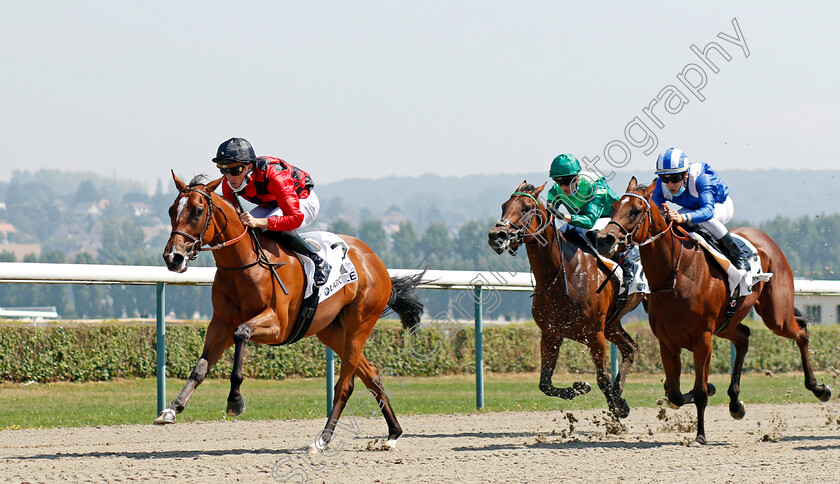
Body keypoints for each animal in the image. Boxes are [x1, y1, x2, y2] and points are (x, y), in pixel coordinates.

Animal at [157, 174, 424, 454]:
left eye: (198, 211)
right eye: (171, 210)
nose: (173, 257)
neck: (245, 264)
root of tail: (375, 260)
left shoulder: (278, 326)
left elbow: (242, 333)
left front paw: (235, 401)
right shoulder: (220, 325)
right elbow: (200, 367)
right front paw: (171, 409)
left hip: (359, 323)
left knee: (345, 385)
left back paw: (322, 440)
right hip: (330, 331)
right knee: (370, 374)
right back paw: (393, 434)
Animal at [486, 182, 644, 420]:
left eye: (526, 208)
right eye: (504, 205)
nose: (497, 235)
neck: (560, 276)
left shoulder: (594, 335)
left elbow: (602, 379)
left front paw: (615, 411)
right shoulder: (551, 334)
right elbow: (545, 384)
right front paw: (582, 388)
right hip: (611, 324)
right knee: (631, 347)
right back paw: (620, 394)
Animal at [592, 177, 832, 442]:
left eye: (635, 210)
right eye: (614, 207)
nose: (604, 239)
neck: (675, 275)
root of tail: (765, 239)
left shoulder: (703, 340)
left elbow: (700, 391)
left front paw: (700, 435)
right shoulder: (667, 342)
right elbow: (675, 394)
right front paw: (707, 393)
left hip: (776, 315)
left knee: (801, 332)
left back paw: (819, 388)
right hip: (728, 321)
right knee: (744, 337)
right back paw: (736, 403)